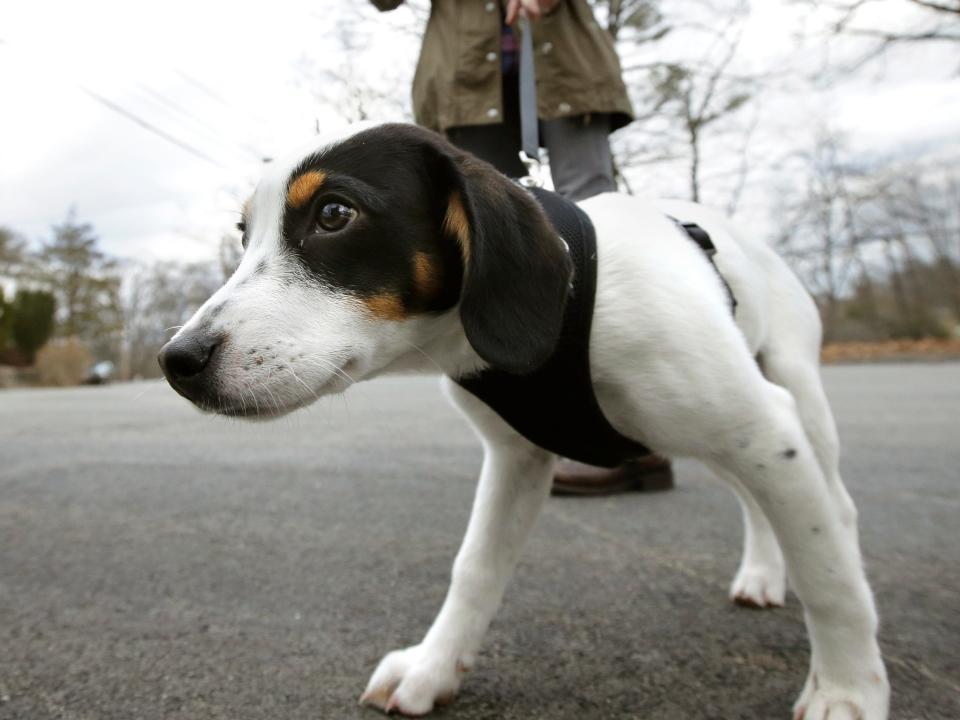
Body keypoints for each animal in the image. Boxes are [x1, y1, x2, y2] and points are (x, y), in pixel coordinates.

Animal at [161, 121, 888, 716]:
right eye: (244, 235)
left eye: (334, 214)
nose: (177, 361)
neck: (568, 300)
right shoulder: (518, 457)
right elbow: (474, 568)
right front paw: (433, 667)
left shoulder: (764, 426)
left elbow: (828, 580)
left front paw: (847, 690)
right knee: (757, 501)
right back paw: (763, 572)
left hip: (788, 397)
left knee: (839, 508)